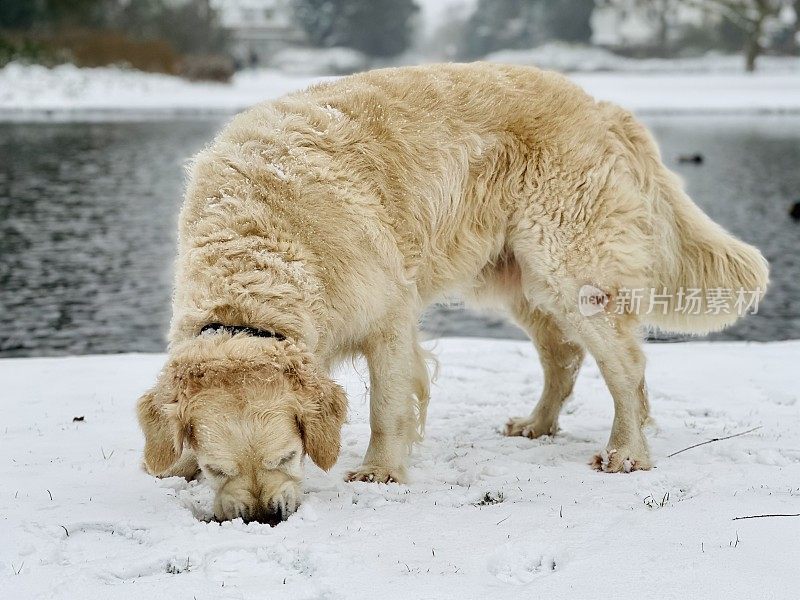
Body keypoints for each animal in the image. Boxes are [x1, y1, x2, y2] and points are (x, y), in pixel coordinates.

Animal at [138, 61, 768, 520]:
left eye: (287, 455)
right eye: (217, 470)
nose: (262, 517)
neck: (256, 250)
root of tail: (602, 107)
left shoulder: (388, 317)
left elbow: (388, 406)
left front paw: (380, 472)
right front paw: (177, 466)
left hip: (570, 268)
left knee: (627, 367)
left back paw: (626, 452)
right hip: (518, 276)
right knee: (562, 355)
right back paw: (537, 424)